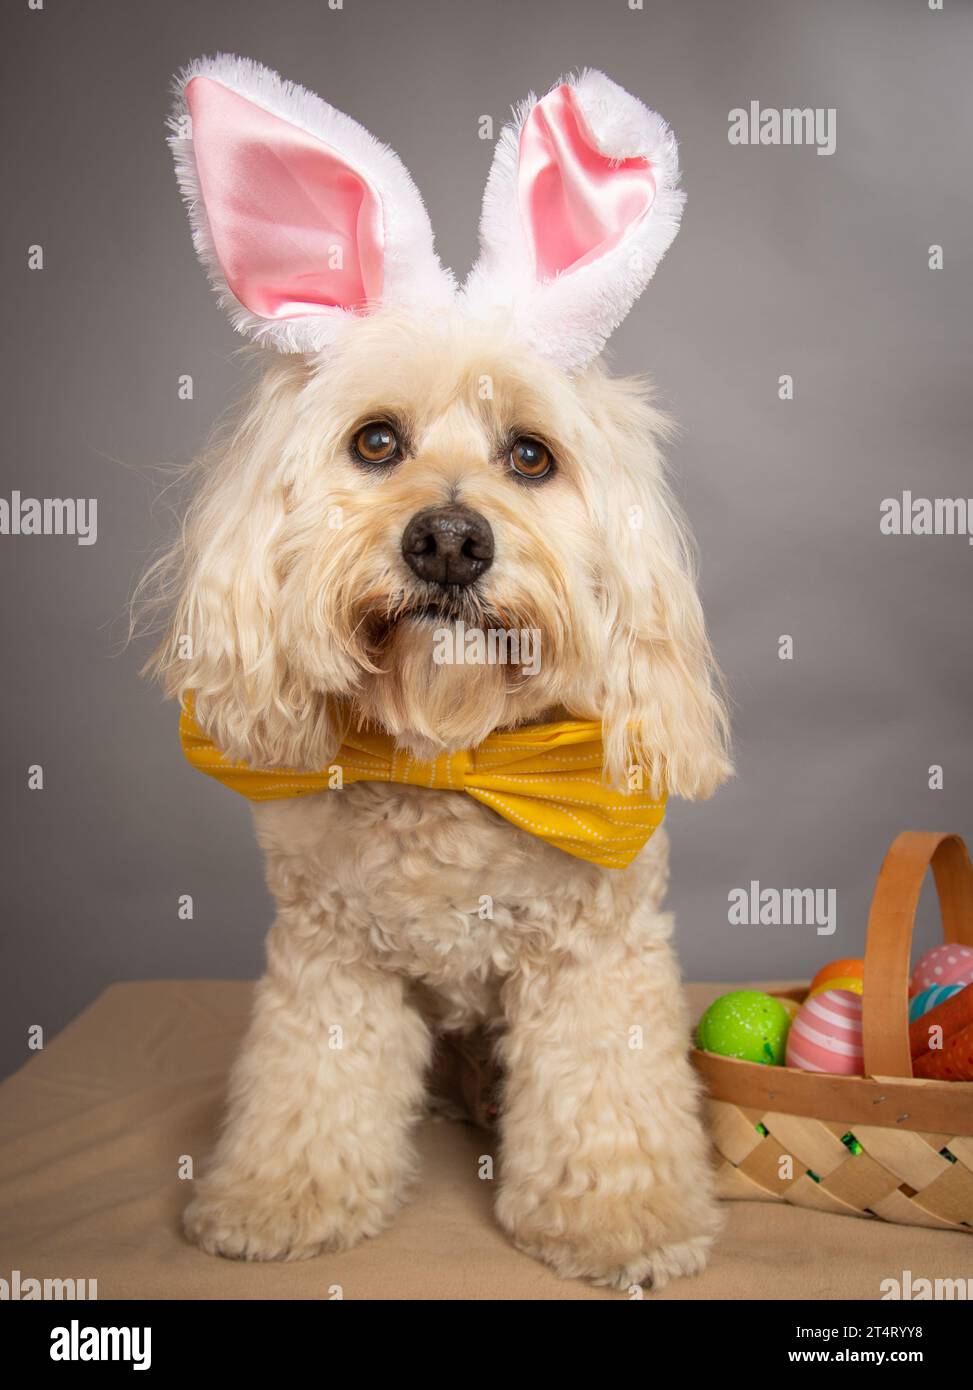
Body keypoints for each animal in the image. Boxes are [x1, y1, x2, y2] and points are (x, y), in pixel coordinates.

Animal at [146, 54, 728, 1289]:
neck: (450, 758)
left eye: (530, 457)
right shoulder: (328, 962)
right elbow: (308, 1092)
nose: (451, 540)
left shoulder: (597, 963)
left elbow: (607, 1107)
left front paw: (624, 1224)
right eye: (375, 442)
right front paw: (276, 1202)